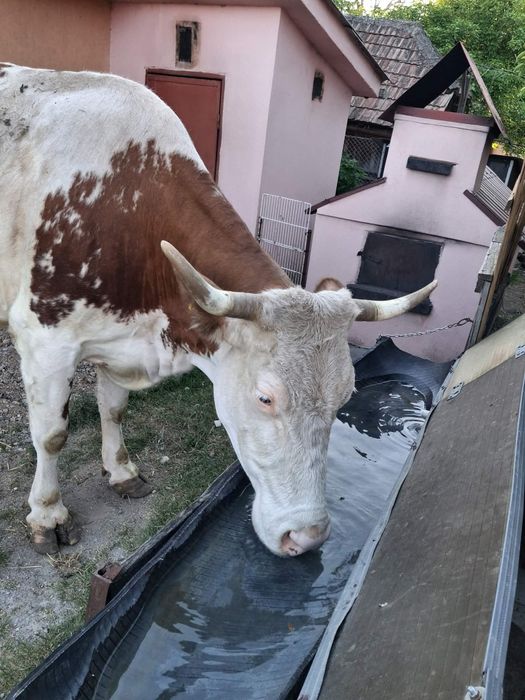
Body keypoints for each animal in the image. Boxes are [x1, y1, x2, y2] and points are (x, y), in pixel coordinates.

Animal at [0, 64, 436, 557]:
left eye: (346, 396)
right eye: (265, 398)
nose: (307, 537)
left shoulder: (117, 340)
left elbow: (113, 409)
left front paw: (122, 472)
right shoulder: (45, 341)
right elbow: (52, 435)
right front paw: (48, 514)